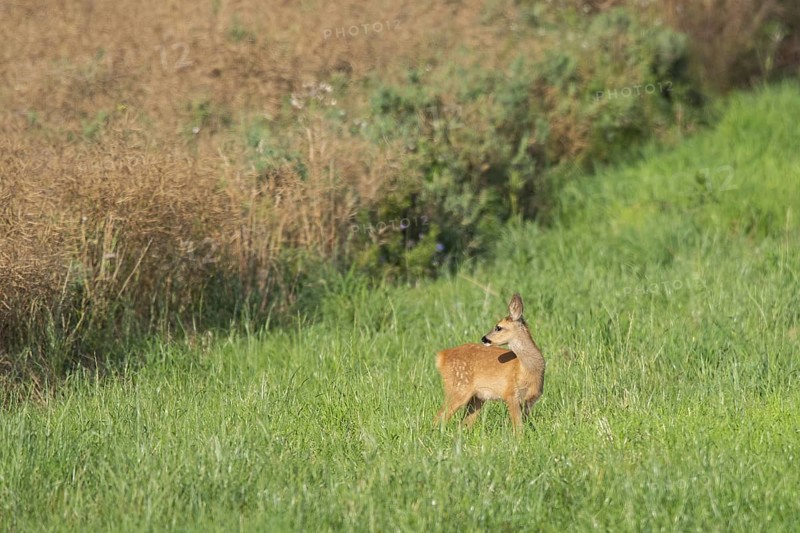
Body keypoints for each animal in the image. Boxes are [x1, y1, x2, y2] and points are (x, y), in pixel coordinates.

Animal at [434, 293, 545, 431]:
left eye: (498, 327)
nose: (484, 338)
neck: (526, 369)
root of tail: (441, 356)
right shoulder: (510, 393)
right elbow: (518, 426)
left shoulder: (531, 399)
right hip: (458, 388)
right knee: (440, 416)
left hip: (477, 398)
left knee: (463, 423)